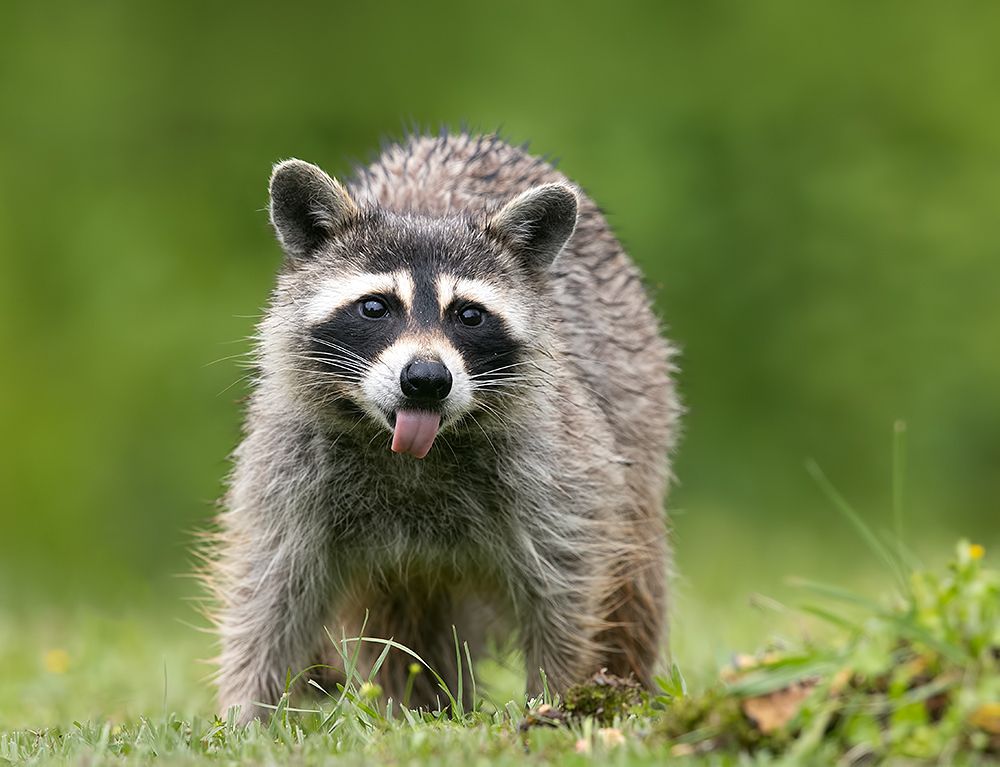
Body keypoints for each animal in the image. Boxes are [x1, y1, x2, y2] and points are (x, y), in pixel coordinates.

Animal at [209, 133, 680, 721]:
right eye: (375, 307)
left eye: (469, 315)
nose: (427, 380)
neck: (417, 454)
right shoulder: (290, 464)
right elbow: (270, 589)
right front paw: (245, 713)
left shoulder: (558, 465)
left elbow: (570, 586)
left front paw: (560, 699)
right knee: (401, 628)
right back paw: (420, 708)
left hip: (637, 398)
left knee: (634, 576)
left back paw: (625, 682)